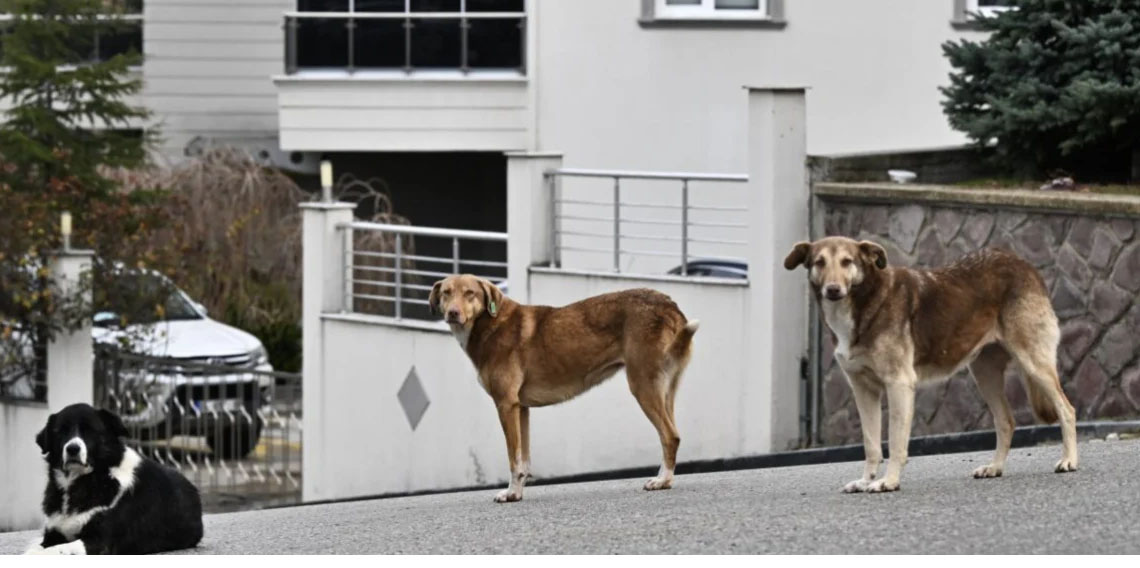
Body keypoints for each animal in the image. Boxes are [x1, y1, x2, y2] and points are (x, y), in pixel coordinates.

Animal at [26, 403, 205, 554]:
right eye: (60, 431)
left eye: (90, 430)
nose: (72, 449)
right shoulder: (53, 534)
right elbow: (38, 548)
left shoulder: (100, 540)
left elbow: (59, 549)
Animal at [428, 274, 693, 501]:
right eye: (446, 293)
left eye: (470, 293)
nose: (453, 313)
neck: (488, 325)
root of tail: (670, 305)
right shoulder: (521, 408)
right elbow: (523, 461)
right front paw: (517, 494)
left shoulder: (505, 405)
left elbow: (513, 459)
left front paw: (510, 493)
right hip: (664, 391)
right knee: (674, 435)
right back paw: (665, 479)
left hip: (642, 385)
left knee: (670, 435)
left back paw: (662, 481)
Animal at [784, 234, 1076, 492]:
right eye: (819, 262)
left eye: (847, 262)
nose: (833, 290)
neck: (865, 301)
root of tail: (1022, 263)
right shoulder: (863, 391)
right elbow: (871, 445)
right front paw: (866, 481)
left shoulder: (899, 384)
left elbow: (895, 443)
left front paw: (889, 482)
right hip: (984, 374)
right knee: (1006, 421)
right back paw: (995, 468)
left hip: (1033, 362)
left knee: (1067, 409)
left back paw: (1069, 460)